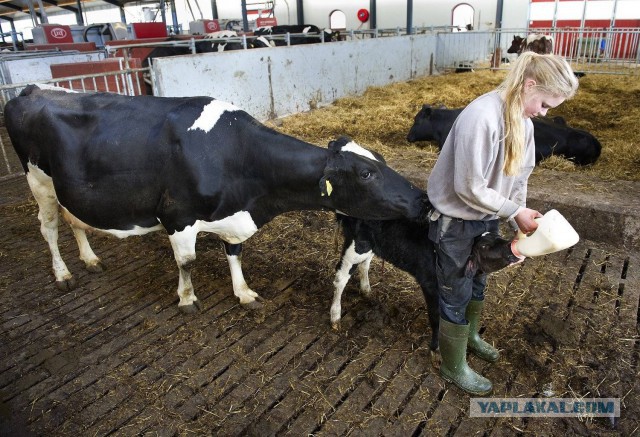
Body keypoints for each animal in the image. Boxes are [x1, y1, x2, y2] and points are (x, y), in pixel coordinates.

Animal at [6, 83, 430, 312]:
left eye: (380, 161)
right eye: (366, 173)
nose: (422, 200)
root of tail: (32, 89)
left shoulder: (233, 216)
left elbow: (235, 254)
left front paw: (243, 293)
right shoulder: (177, 215)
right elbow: (187, 262)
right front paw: (187, 299)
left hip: (66, 189)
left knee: (74, 219)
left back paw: (90, 259)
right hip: (38, 181)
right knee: (48, 227)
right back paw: (63, 273)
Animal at [332, 213, 524, 350]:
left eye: (498, 236)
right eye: (484, 246)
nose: (511, 246)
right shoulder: (431, 285)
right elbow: (436, 316)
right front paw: (436, 347)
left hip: (372, 246)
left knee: (364, 264)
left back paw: (366, 290)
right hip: (356, 246)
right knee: (341, 278)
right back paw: (335, 316)